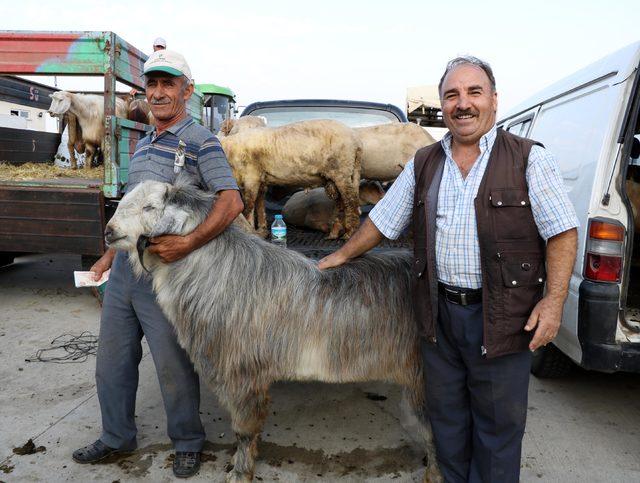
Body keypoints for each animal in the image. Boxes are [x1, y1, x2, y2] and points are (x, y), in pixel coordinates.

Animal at [105, 175, 442, 483]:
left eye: (149, 207)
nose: (109, 231)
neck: (218, 270)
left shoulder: (241, 374)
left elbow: (243, 429)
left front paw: (240, 472)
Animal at [219, 120, 360, 239]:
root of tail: (355, 141)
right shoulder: (260, 179)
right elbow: (259, 204)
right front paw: (262, 231)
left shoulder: (251, 177)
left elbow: (248, 206)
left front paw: (250, 230)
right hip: (340, 175)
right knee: (341, 203)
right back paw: (334, 234)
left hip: (342, 171)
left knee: (351, 201)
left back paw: (349, 234)